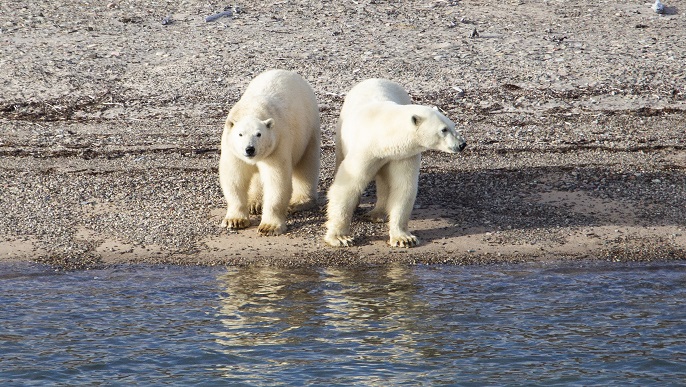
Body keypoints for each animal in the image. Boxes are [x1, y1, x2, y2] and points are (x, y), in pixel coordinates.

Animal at [220, 68, 322, 235]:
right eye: (240, 134)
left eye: (259, 134)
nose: (250, 149)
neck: (252, 109)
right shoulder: (232, 151)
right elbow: (234, 179)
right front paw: (235, 220)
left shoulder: (277, 146)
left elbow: (276, 182)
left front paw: (269, 227)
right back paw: (254, 203)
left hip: (309, 128)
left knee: (307, 165)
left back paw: (299, 202)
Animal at [324, 79, 468, 249]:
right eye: (443, 130)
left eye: (453, 125)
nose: (462, 144)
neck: (384, 136)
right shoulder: (365, 150)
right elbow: (348, 186)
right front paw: (340, 238)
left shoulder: (403, 154)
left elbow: (403, 188)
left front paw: (404, 238)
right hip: (341, 134)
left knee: (384, 182)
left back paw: (377, 214)